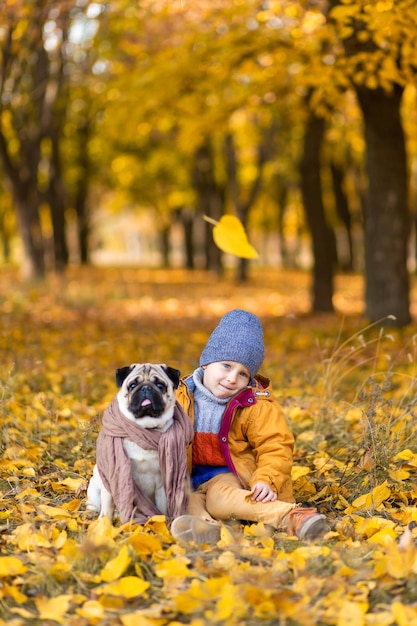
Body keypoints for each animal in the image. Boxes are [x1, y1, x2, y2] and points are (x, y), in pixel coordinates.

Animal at [86, 364, 182, 520]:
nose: (146, 388)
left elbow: (163, 509)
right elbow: (107, 506)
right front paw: (104, 523)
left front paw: (162, 521)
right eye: (133, 385)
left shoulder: (162, 484)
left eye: (160, 385)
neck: (143, 428)